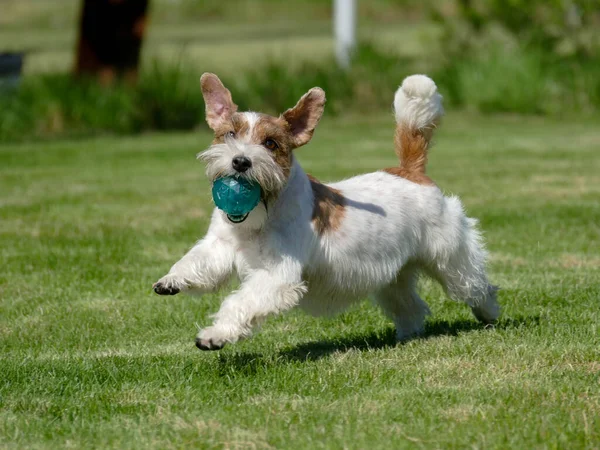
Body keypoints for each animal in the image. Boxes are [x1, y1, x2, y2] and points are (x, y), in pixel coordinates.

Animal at [152, 72, 500, 350]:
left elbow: (241, 302)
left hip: (450, 259)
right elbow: (197, 261)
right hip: (393, 275)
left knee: (476, 285)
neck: (258, 218)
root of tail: (409, 171)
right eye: (229, 134)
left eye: (270, 144)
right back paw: (407, 336)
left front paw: (215, 335)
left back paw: (489, 314)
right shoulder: (220, 246)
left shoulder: (277, 275)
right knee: (410, 306)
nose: (241, 161)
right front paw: (171, 280)